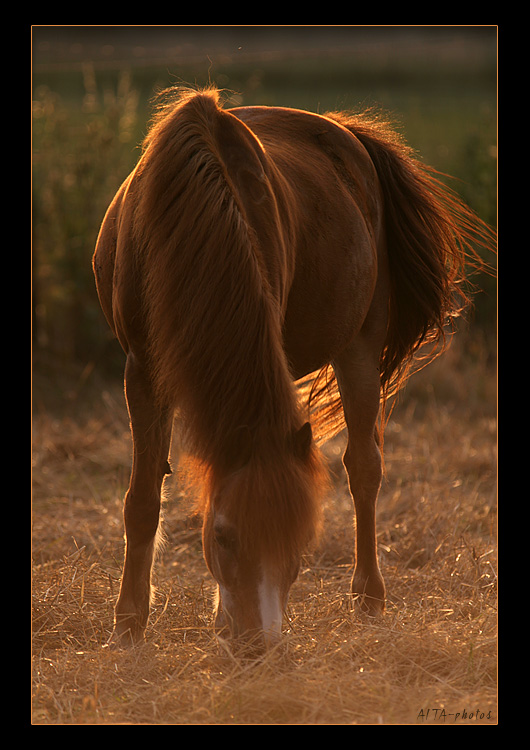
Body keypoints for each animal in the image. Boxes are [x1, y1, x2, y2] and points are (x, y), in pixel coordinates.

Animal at [92, 85, 490, 648]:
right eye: (222, 536)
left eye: (299, 543)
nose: (258, 645)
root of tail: (347, 132)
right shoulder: (142, 371)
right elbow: (143, 500)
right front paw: (128, 625)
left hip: (360, 346)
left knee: (363, 468)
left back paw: (369, 599)